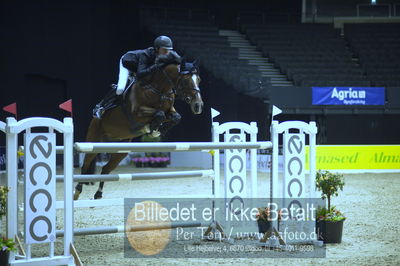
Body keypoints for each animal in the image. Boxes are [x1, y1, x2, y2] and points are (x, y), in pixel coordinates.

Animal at [73, 58, 203, 200]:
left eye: (199, 79)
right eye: (185, 80)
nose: (198, 105)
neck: (159, 89)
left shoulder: (169, 110)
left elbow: (175, 117)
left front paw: (156, 130)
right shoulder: (137, 112)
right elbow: (159, 114)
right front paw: (152, 129)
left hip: (120, 151)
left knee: (106, 169)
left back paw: (98, 194)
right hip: (94, 140)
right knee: (86, 164)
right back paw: (77, 191)